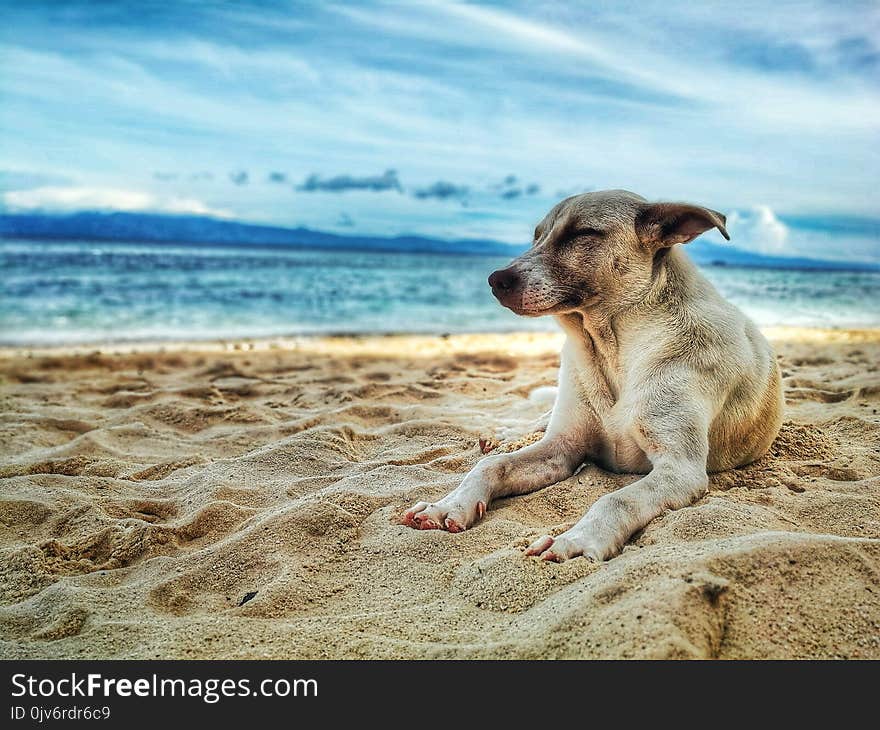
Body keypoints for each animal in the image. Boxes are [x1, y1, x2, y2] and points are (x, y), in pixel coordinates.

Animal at [402, 191, 780, 560]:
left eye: (581, 233)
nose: (496, 280)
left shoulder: (680, 469)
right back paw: (504, 434)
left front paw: (576, 540)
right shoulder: (561, 447)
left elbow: (616, 499)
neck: (610, 349)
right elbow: (492, 466)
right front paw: (449, 505)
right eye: (537, 236)